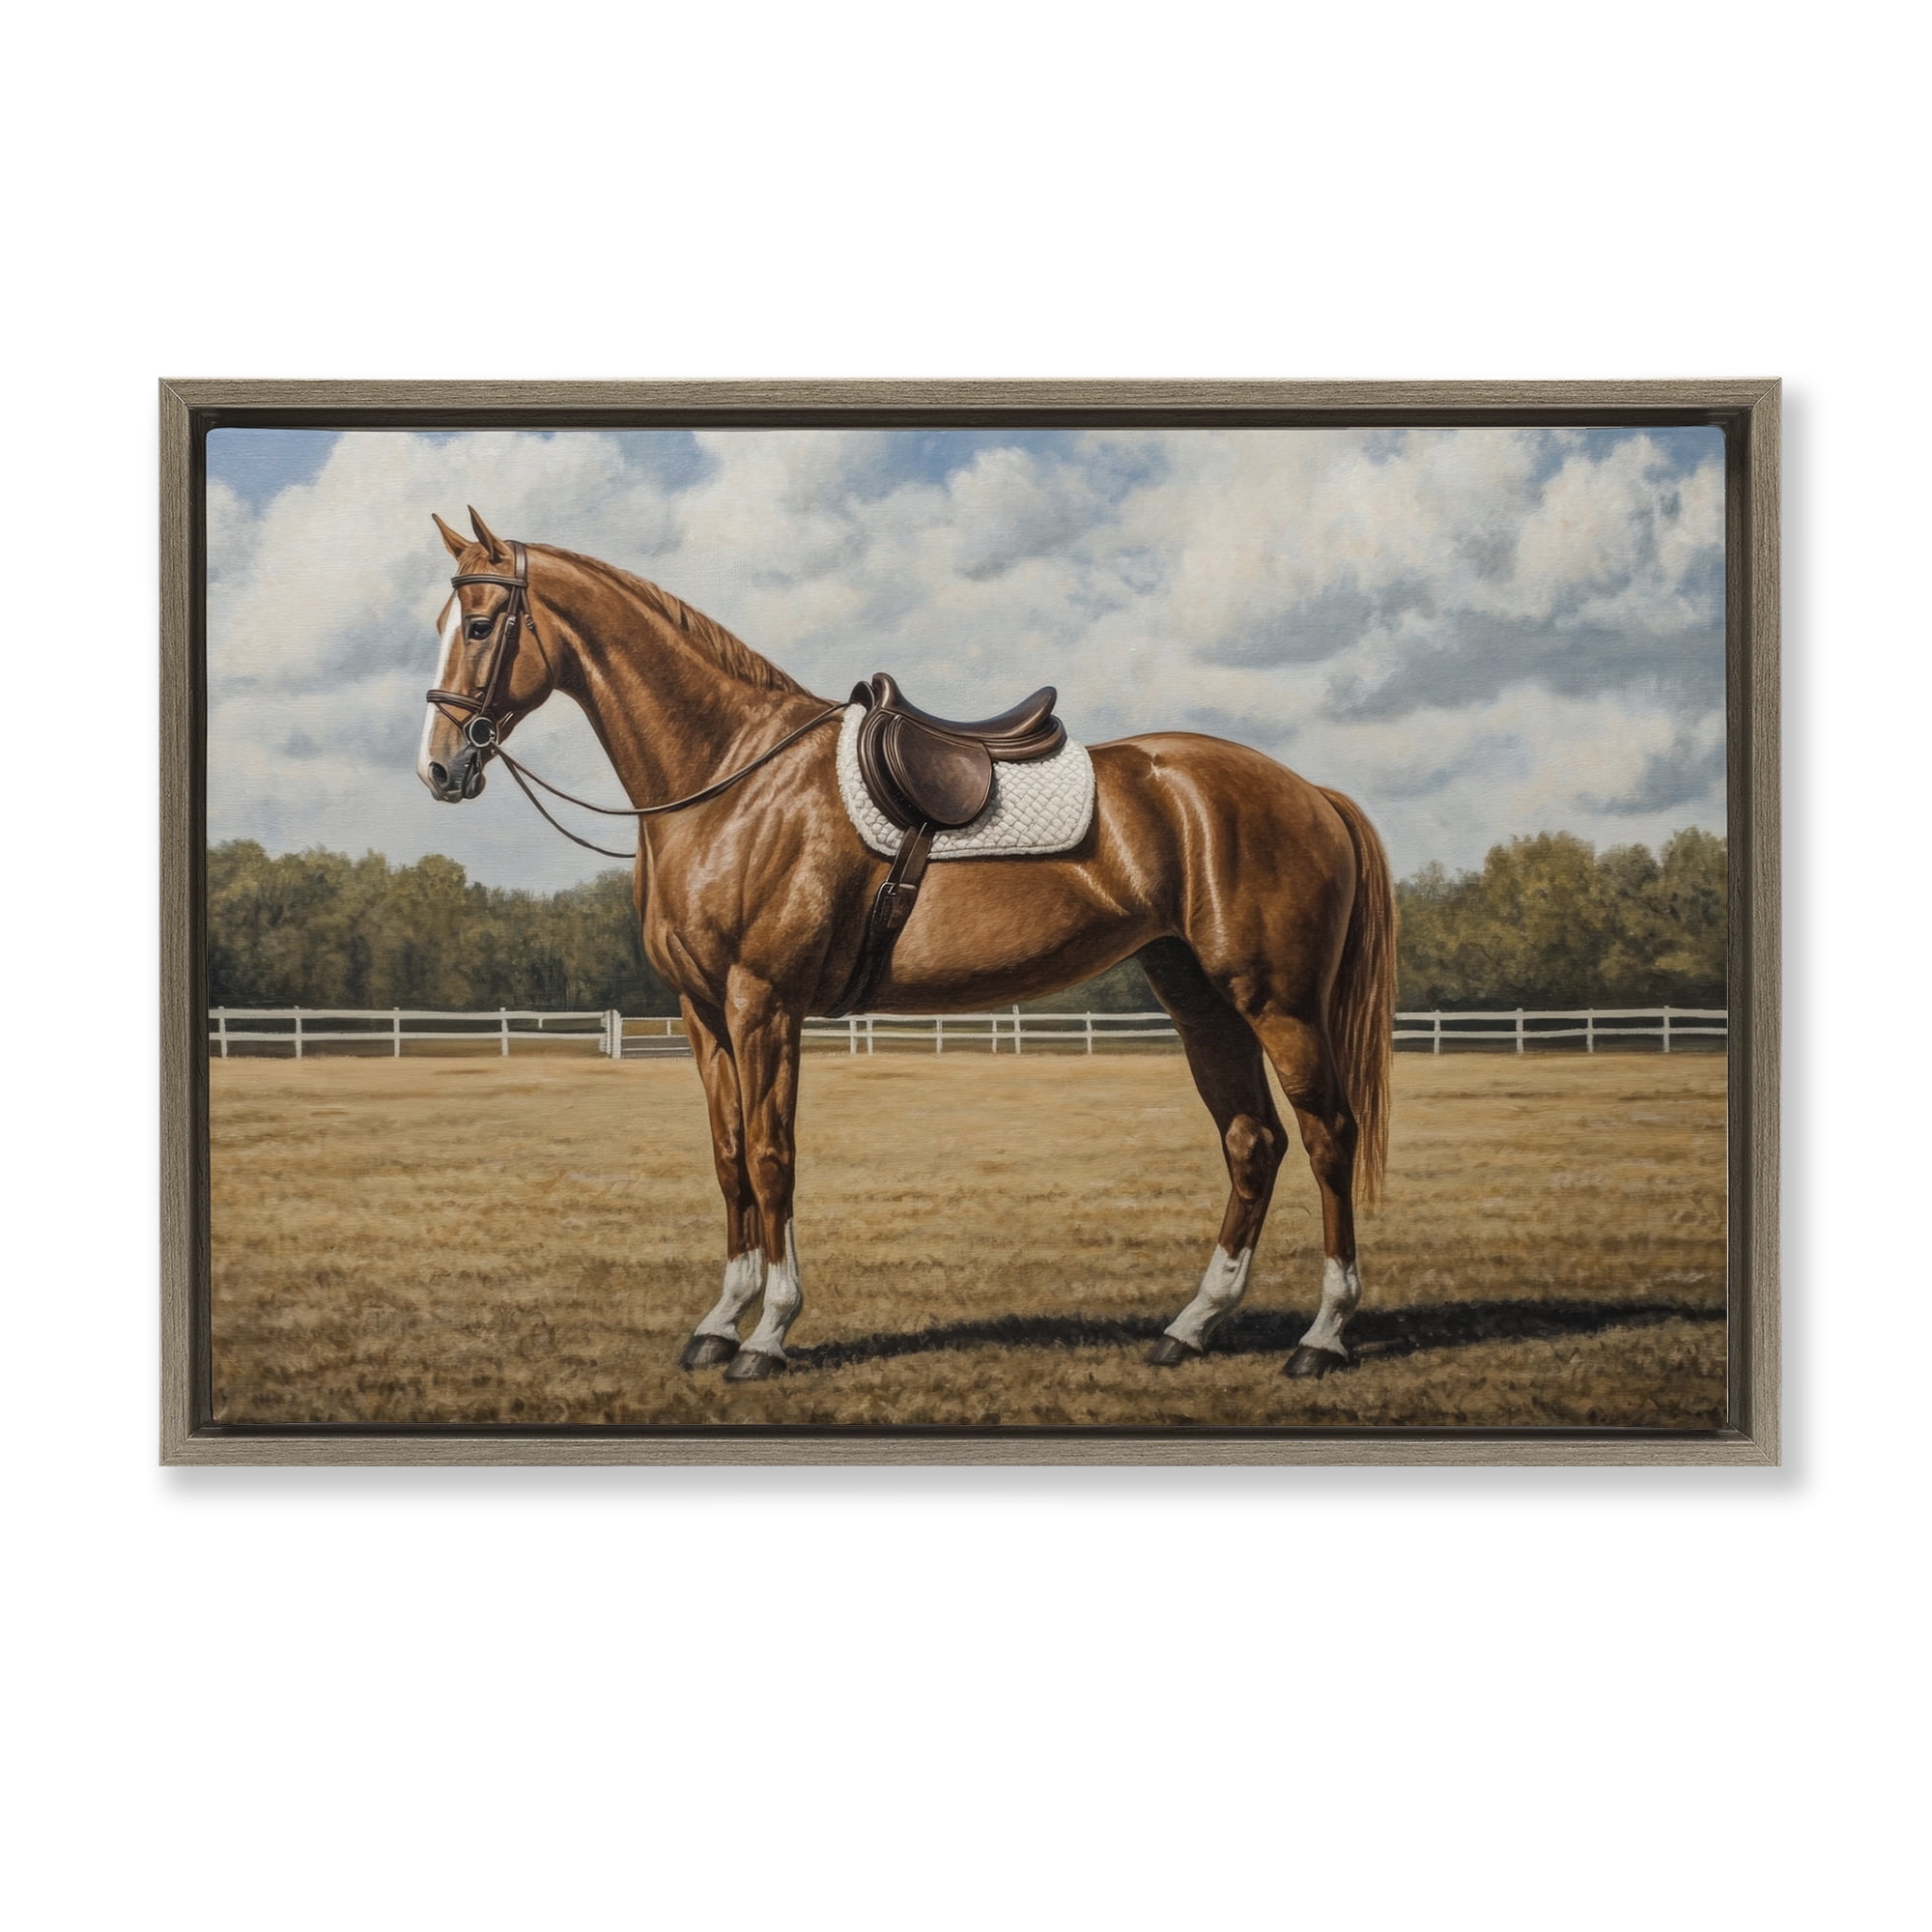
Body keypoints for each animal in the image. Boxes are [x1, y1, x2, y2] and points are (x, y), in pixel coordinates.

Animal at [417, 507, 1396, 1383]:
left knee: (1328, 1135)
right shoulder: (701, 1011)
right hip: (1199, 998)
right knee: (1252, 1141)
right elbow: (729, 1157)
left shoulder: (763, 1001)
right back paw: (1190, 1328)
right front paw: (718, 1323)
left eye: (479, 624)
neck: (731, 780)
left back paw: (1321, 1338)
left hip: (1278, 1001)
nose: (439, 768)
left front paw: (768, 1333)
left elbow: (772, 1156)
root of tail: (1308, 790)